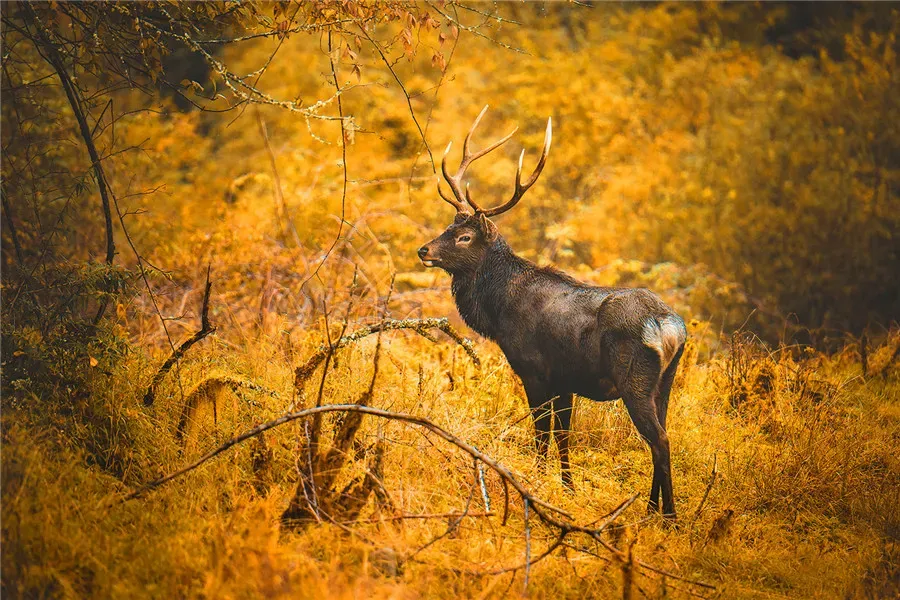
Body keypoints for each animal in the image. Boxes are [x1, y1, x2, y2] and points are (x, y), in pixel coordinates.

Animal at [418, 105, 684, 516]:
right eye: (448, 226)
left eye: (464, 237)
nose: (424, 250)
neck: (499, 312)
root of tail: (669, 327)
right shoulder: (565, 379)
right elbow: (564, 437)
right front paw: (568, 489)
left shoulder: (534, 370)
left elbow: (542, 435)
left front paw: (538, 485)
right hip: (666, 380)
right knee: (663, 433)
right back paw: (653, 508)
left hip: (634, 379)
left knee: (659, 439)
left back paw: (666, 515)